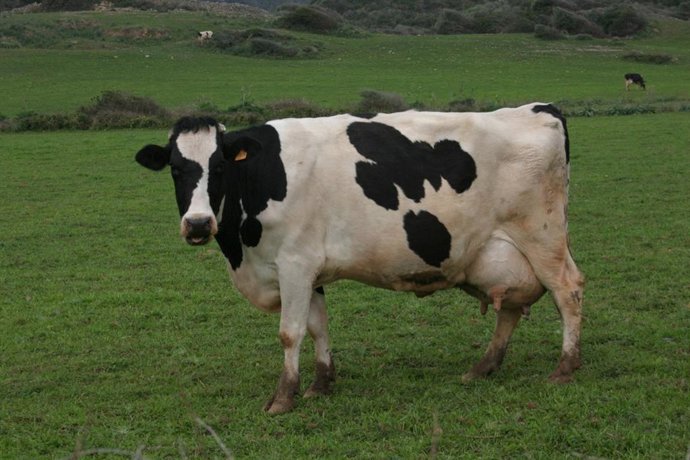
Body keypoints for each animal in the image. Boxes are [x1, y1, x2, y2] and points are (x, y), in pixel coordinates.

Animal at [135, 103, 585, 414]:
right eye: (175, 168)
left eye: (219, 167)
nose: (197, 224)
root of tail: (539, 108)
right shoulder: (310, 270)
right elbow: (318, 326)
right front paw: (321, 384)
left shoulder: (294, 263)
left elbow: (290, 332)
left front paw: (283, 398)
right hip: (499, 252)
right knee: (509, 305)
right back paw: (483, 367)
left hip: (542, 237)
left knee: (568, 291)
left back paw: (564, 368)